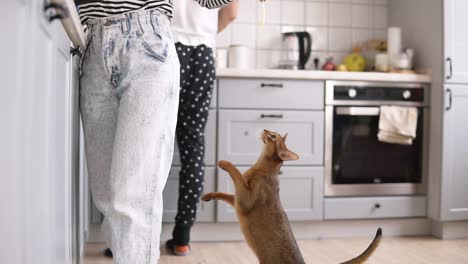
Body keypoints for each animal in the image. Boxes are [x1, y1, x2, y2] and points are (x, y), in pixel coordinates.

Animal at [200, 130, 380, 264]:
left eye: (273, 136)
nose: (265, 129)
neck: (260, 168)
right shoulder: (237, 200)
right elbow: (224, 193)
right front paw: (207, 196)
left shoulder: (245, 200)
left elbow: (236, 173)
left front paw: (224, 163)